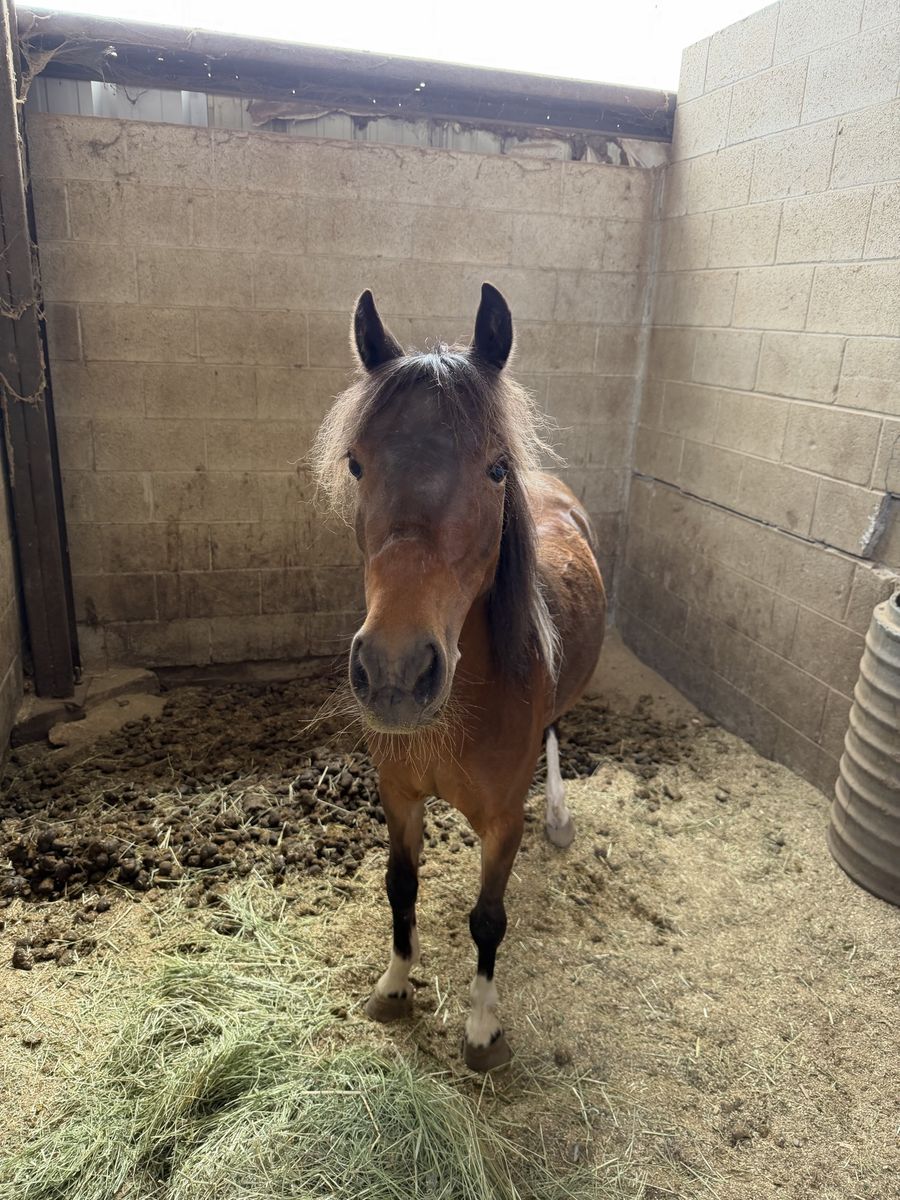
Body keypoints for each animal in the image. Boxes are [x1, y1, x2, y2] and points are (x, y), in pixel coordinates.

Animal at [312, 283, 606, 1071]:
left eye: (496, 467)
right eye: (356, 464)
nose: (394, 672)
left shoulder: (502, 825)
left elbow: (488, 919)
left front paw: (481, 1027)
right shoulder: (399, 796)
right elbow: (400, 887)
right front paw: (393, 985)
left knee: (557, 731)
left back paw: (560, 817)